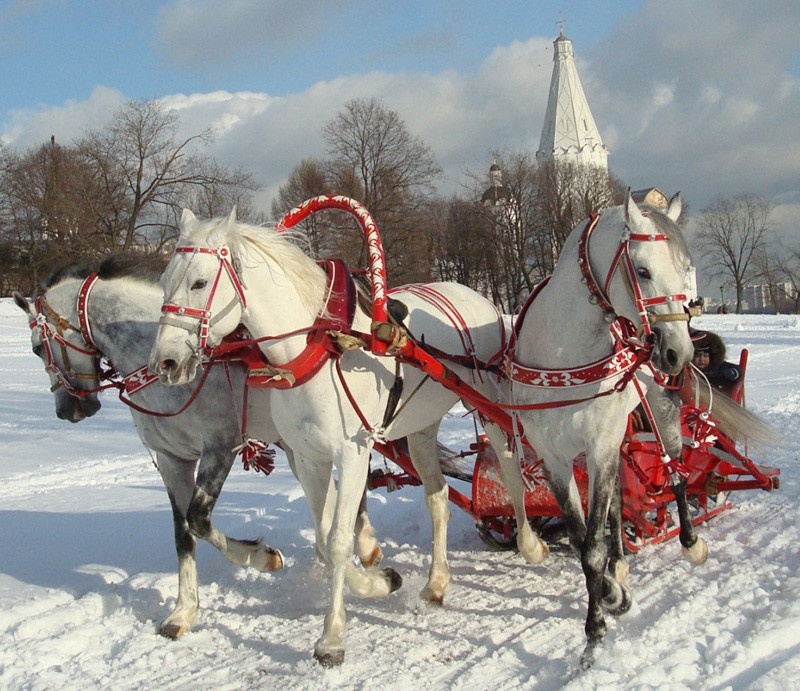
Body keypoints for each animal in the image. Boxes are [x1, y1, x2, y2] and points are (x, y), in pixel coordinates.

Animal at [11, 260, 384, 644]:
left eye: (37, 347)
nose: (66, 410)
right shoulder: (171, 460)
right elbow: (182, 533)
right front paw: (183, 610)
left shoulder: (220, 448)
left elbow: (199, 519)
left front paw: (261, 556)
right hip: (300, 448)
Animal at [147, 207, 548, 664]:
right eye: (164, 281)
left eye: (199, 282)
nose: (165, 362)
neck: (315, 348)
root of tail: (475, 294)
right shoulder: (308, 458)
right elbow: (324, 541)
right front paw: (379, 580)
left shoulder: (353, 452)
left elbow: (339, 541)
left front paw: (332, 636)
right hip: (420, 427)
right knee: (438, 497)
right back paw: (436, 582)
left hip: (489, 403)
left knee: (511, 471)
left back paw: (530, 543)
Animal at [510, 193, 696, 664]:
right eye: (643, 270)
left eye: (686, 267)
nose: (679, 352)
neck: (564, 353)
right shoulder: (556, 458)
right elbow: (581, 540)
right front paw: (611, 595)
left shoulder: (600, 447)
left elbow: (592, 546)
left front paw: (595, 628)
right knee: (617, 503)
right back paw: (622, 565)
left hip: (659, 411)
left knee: (677, 471)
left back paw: (690, 540)